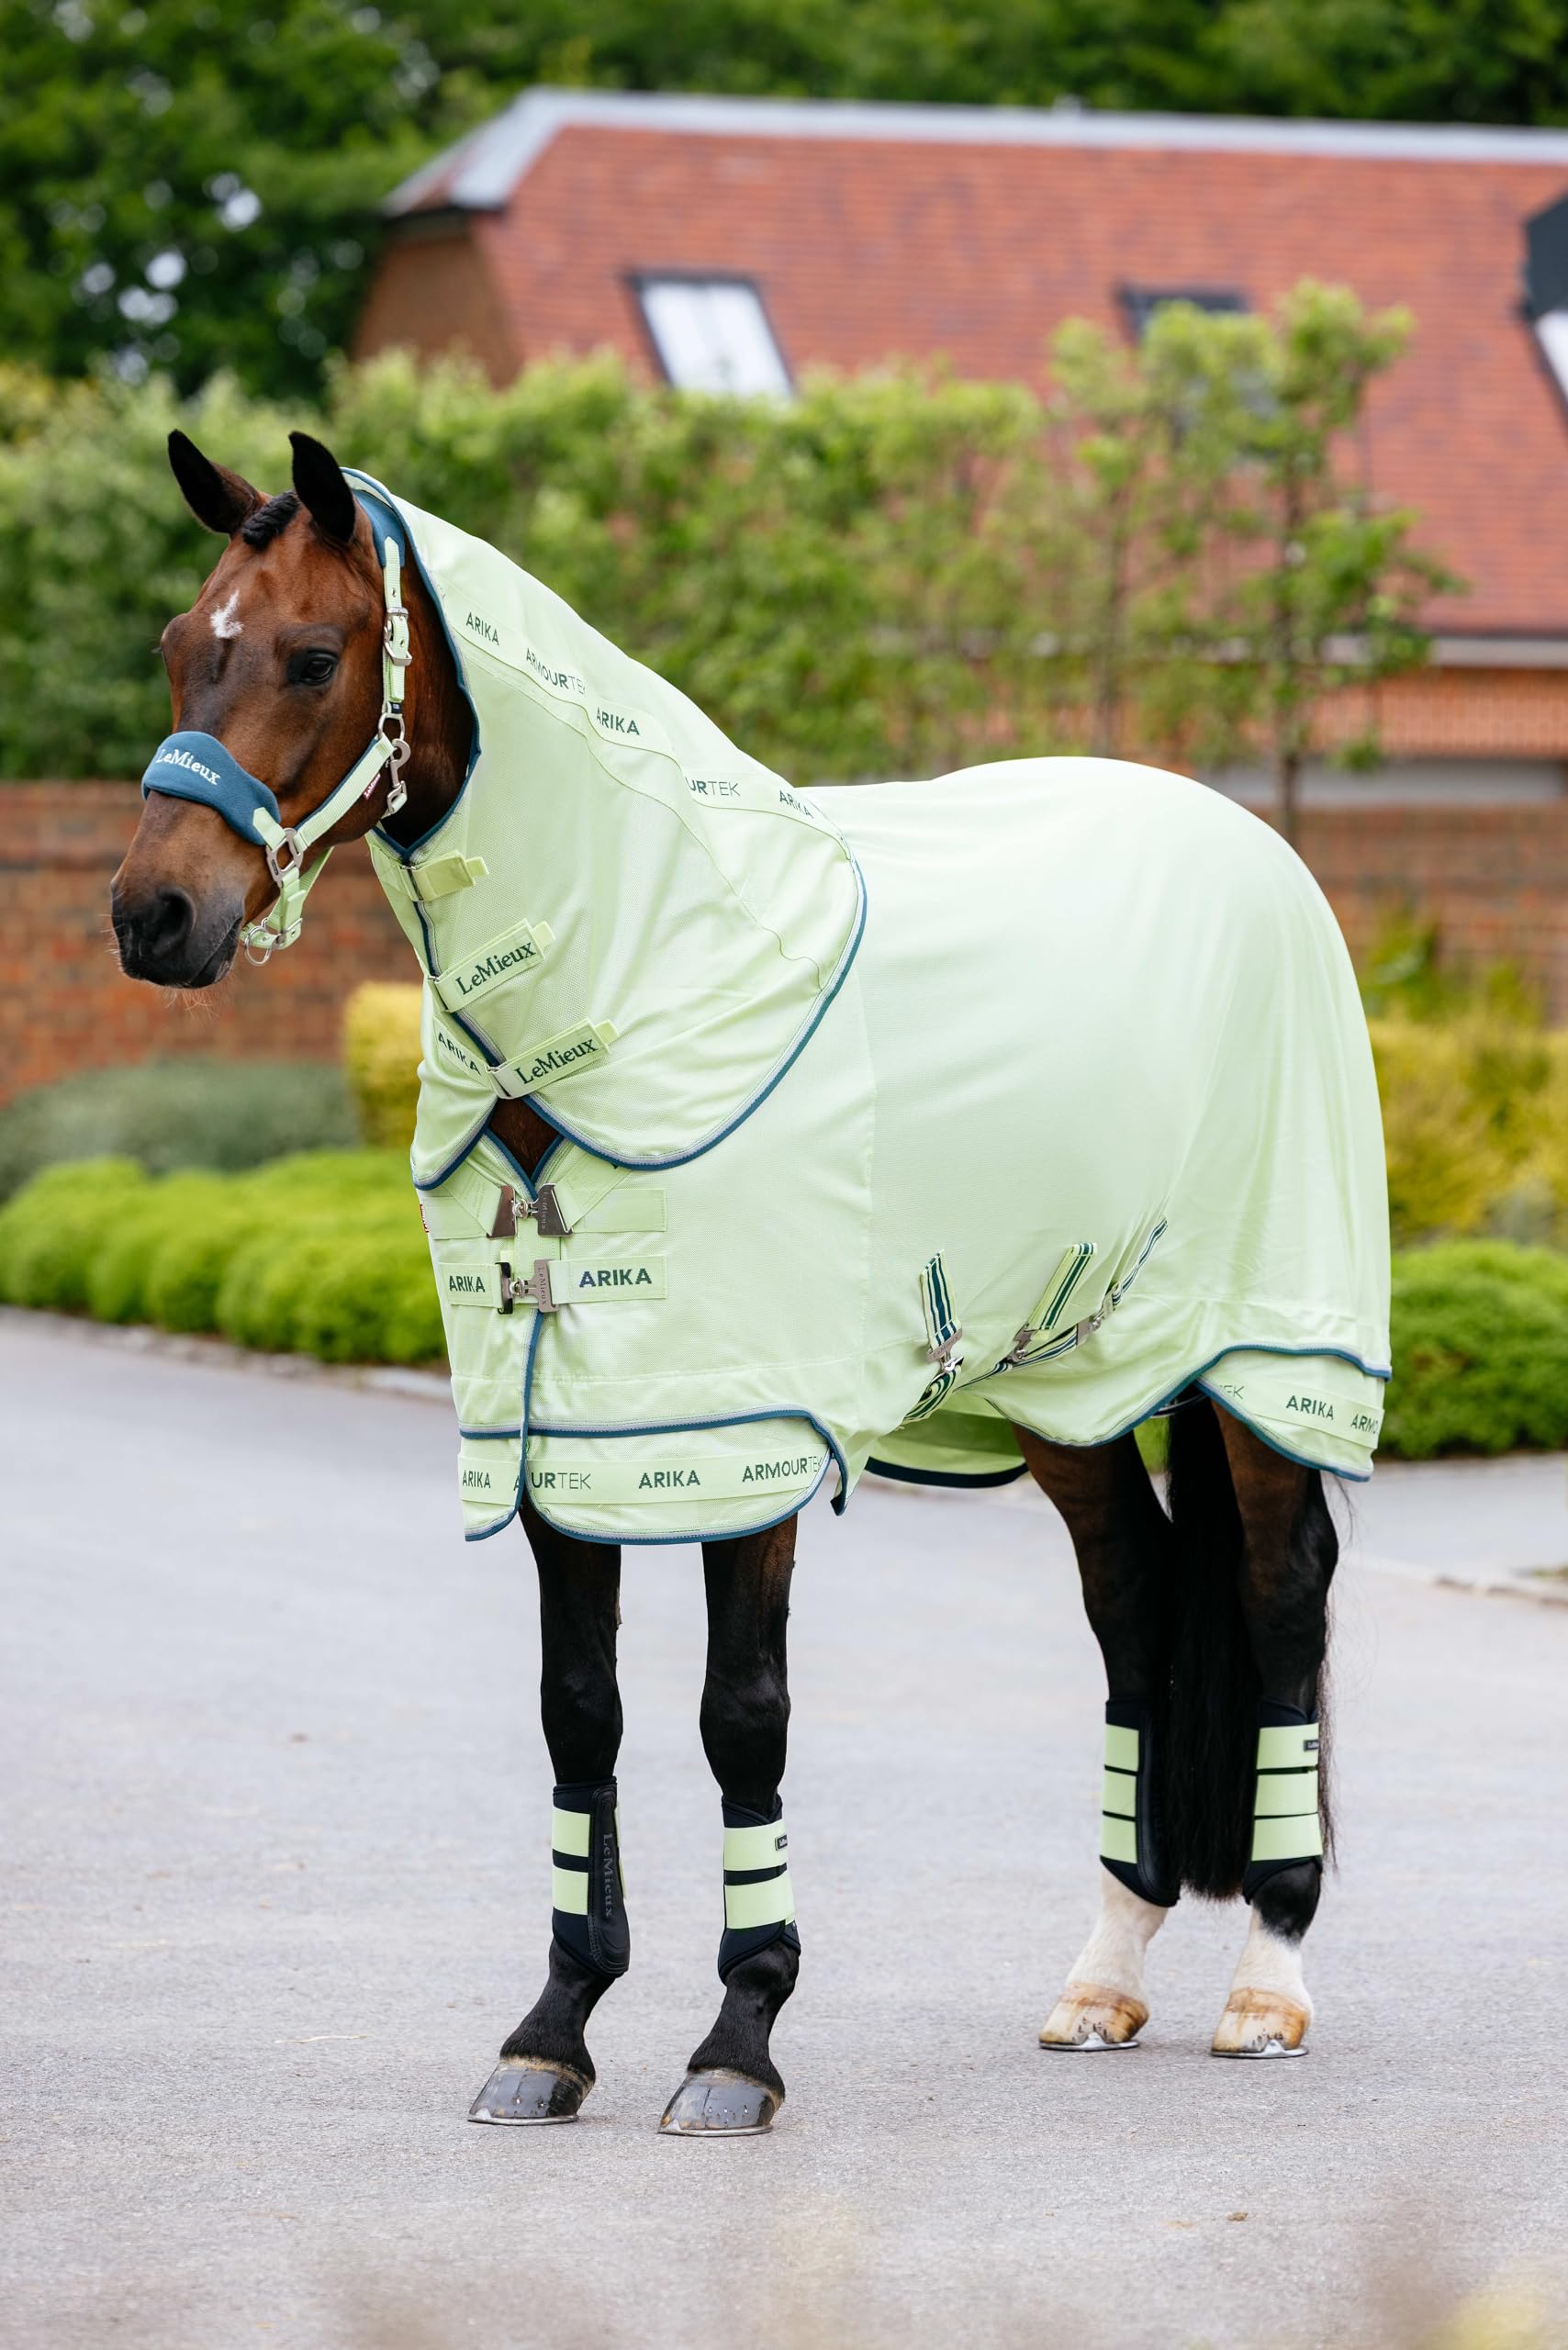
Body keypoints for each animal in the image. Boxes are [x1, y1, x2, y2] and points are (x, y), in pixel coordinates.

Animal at [110, 428, 1388, 2135]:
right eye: (185, 645)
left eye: (314, 656)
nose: (153, 915)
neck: (644, 972)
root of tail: (1254, 850)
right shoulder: (561, 1431)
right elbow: (579, 1710)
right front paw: (553, 2029)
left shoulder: (747, 1434)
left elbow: (741, 1718)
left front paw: (739, 2038)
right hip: (1069, 1375)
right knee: (1130, 1607)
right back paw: (1103, 1977)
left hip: (1264, 1363)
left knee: (1279, 1599)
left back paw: (1267, 1982)